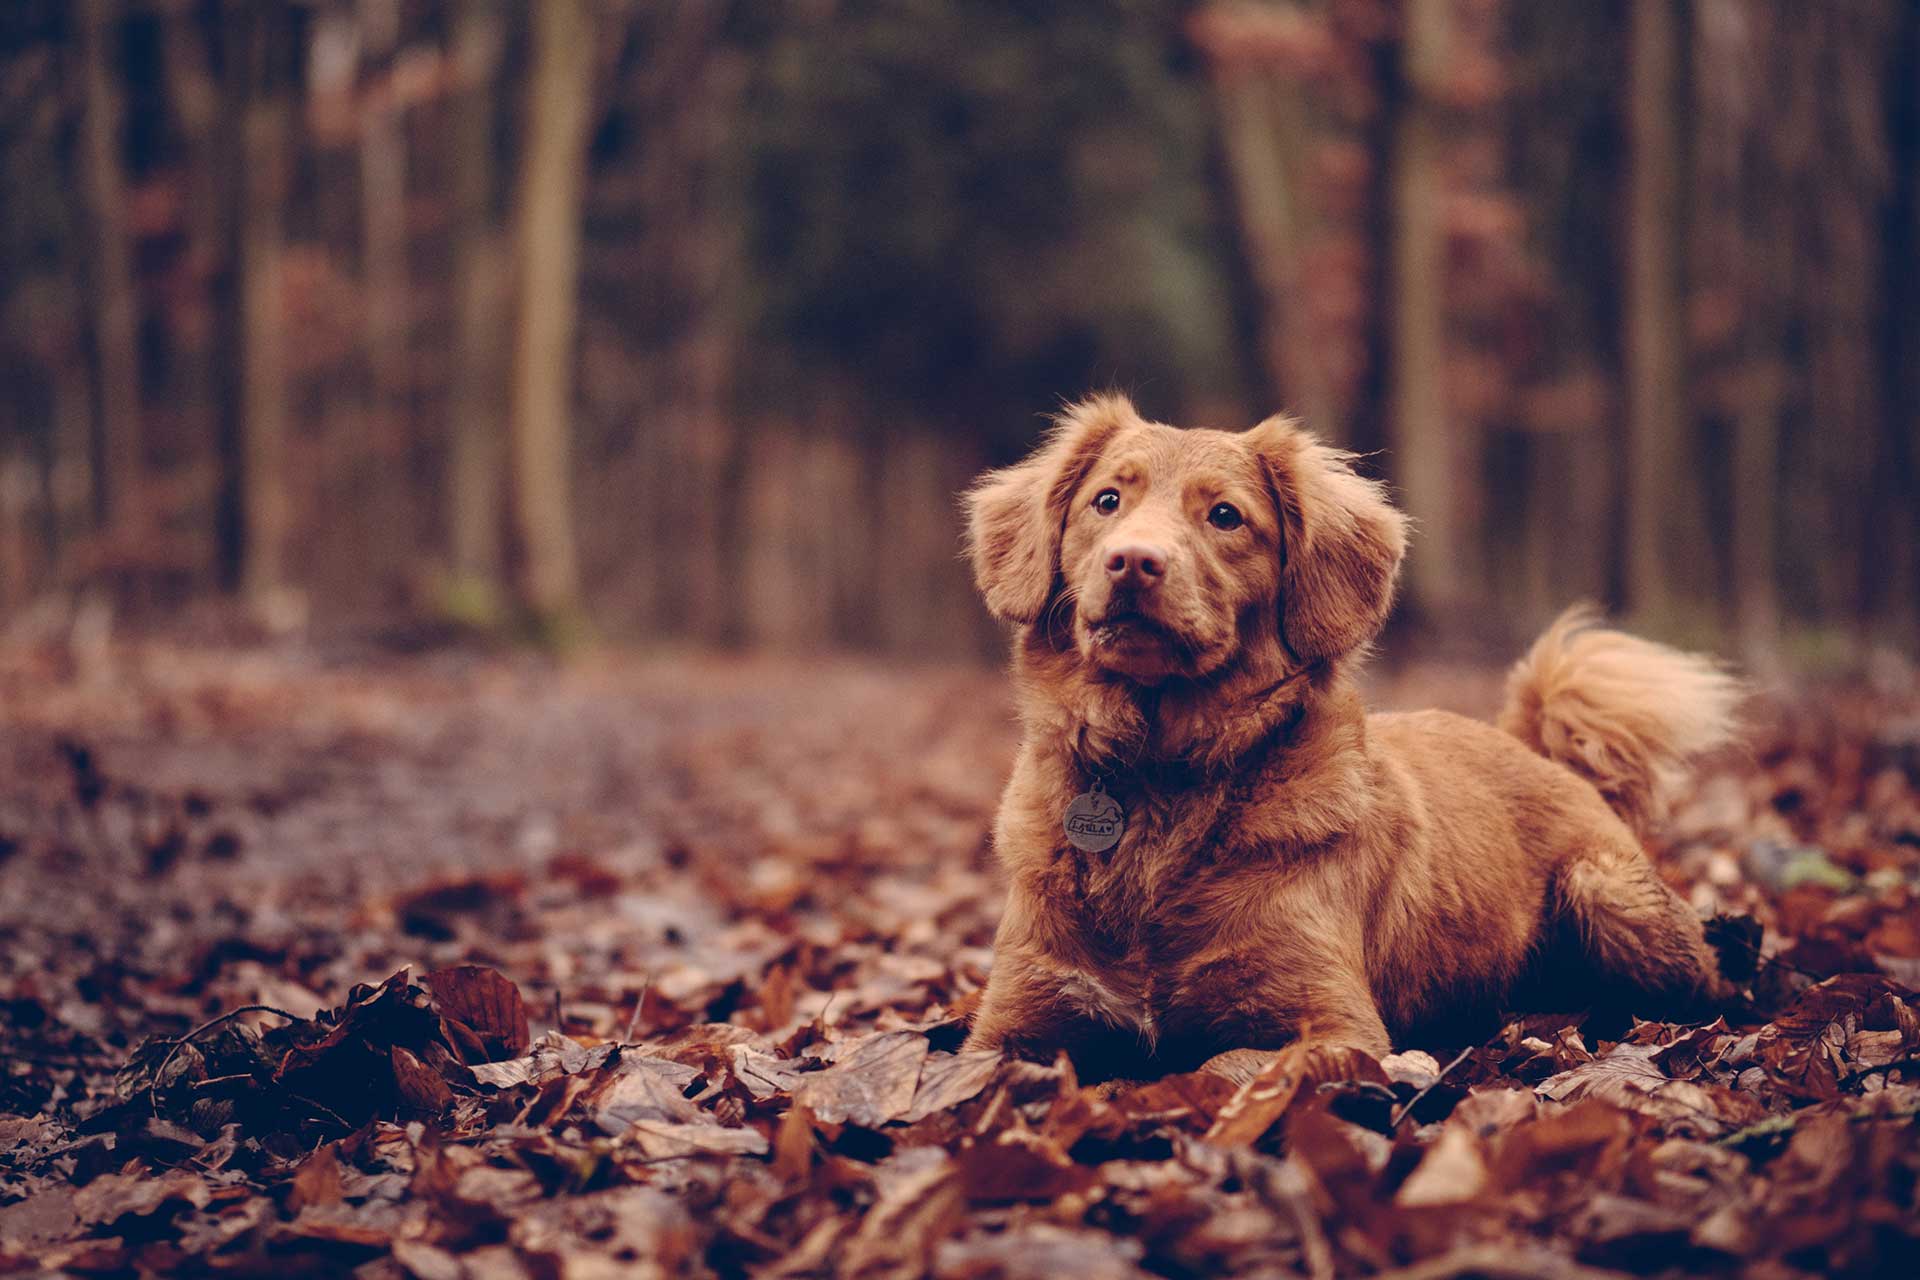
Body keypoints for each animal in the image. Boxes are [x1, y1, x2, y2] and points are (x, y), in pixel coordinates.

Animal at [960, 393, 1743, 1074]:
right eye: (1106, 501)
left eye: (1225, 516)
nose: (1132, 561)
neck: (1159, 773)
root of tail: (1532, 749)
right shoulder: (1012, 1020)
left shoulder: (1334, 1023)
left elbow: (1220, 1067)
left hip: (1605, 892)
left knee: (1714, 981)